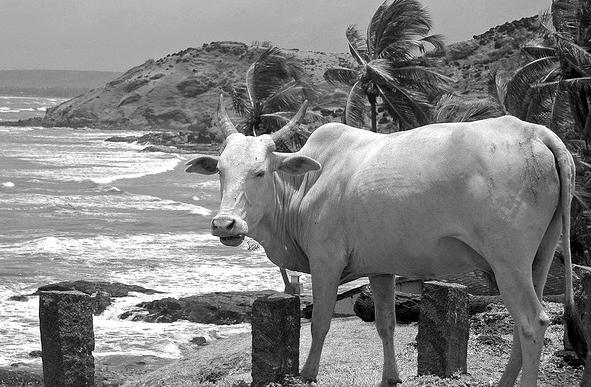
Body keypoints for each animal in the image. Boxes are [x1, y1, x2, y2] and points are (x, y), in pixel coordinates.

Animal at [186, 94, 588, 387]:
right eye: (220, 171)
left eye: (259, 172)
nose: (224, 224)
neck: (304, 186)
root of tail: (538, 133)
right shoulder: (380, 268)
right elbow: (385, 325)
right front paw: (390, 378)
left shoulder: (326, 261)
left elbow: (319, 323)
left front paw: (308, 374)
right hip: (539, 258)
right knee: (524, 326)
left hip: (508, 263)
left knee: (533, 322)